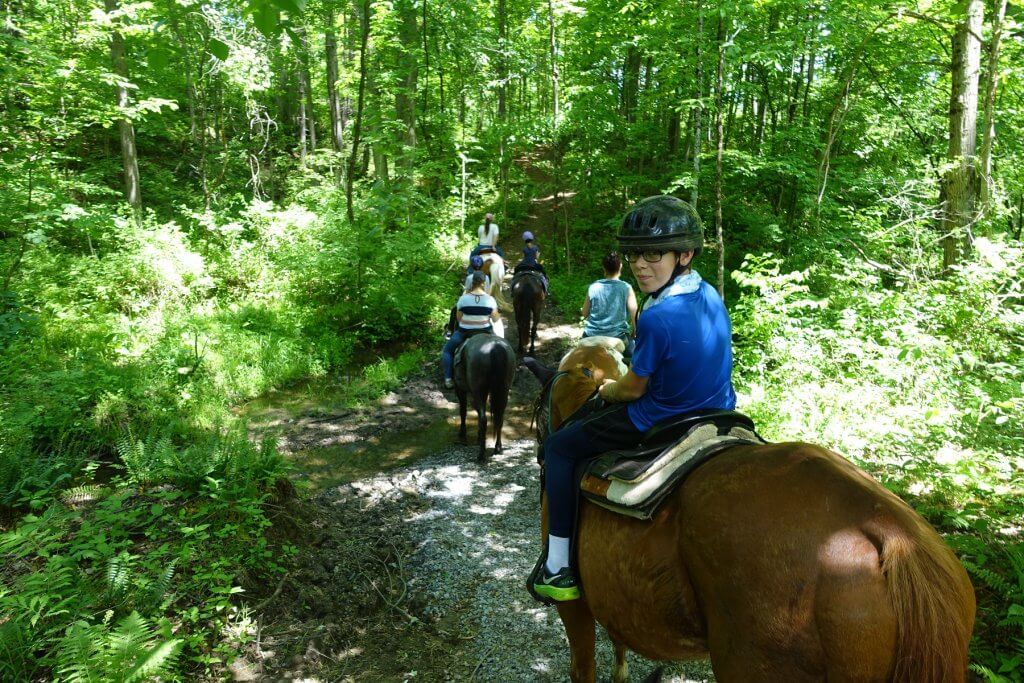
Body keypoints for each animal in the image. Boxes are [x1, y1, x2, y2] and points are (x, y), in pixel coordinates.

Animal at [454, 331, 516, 462]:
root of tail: (495, 347)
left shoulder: (460, 390)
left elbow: (463, 411)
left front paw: (462, 433)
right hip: (503, 390)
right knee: (499, 417)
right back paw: (498, 448)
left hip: (479, 391)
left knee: (483, 419)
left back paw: (481, 455)